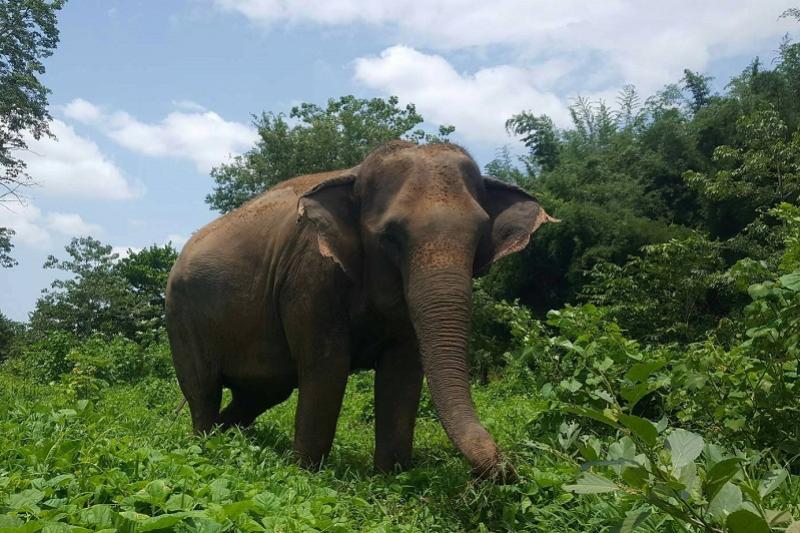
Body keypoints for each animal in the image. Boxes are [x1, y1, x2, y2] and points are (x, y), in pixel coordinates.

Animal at [165, 140, 555, 479]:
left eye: (479, 237)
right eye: (391, 238)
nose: (506, 470)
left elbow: (402, 371)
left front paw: (390, 478)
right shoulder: (310, 278)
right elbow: (327, 367)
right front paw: (307, 473)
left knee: (262, 393)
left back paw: (229, 438)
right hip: (182, 315)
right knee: (204, 389)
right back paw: (205, 444)